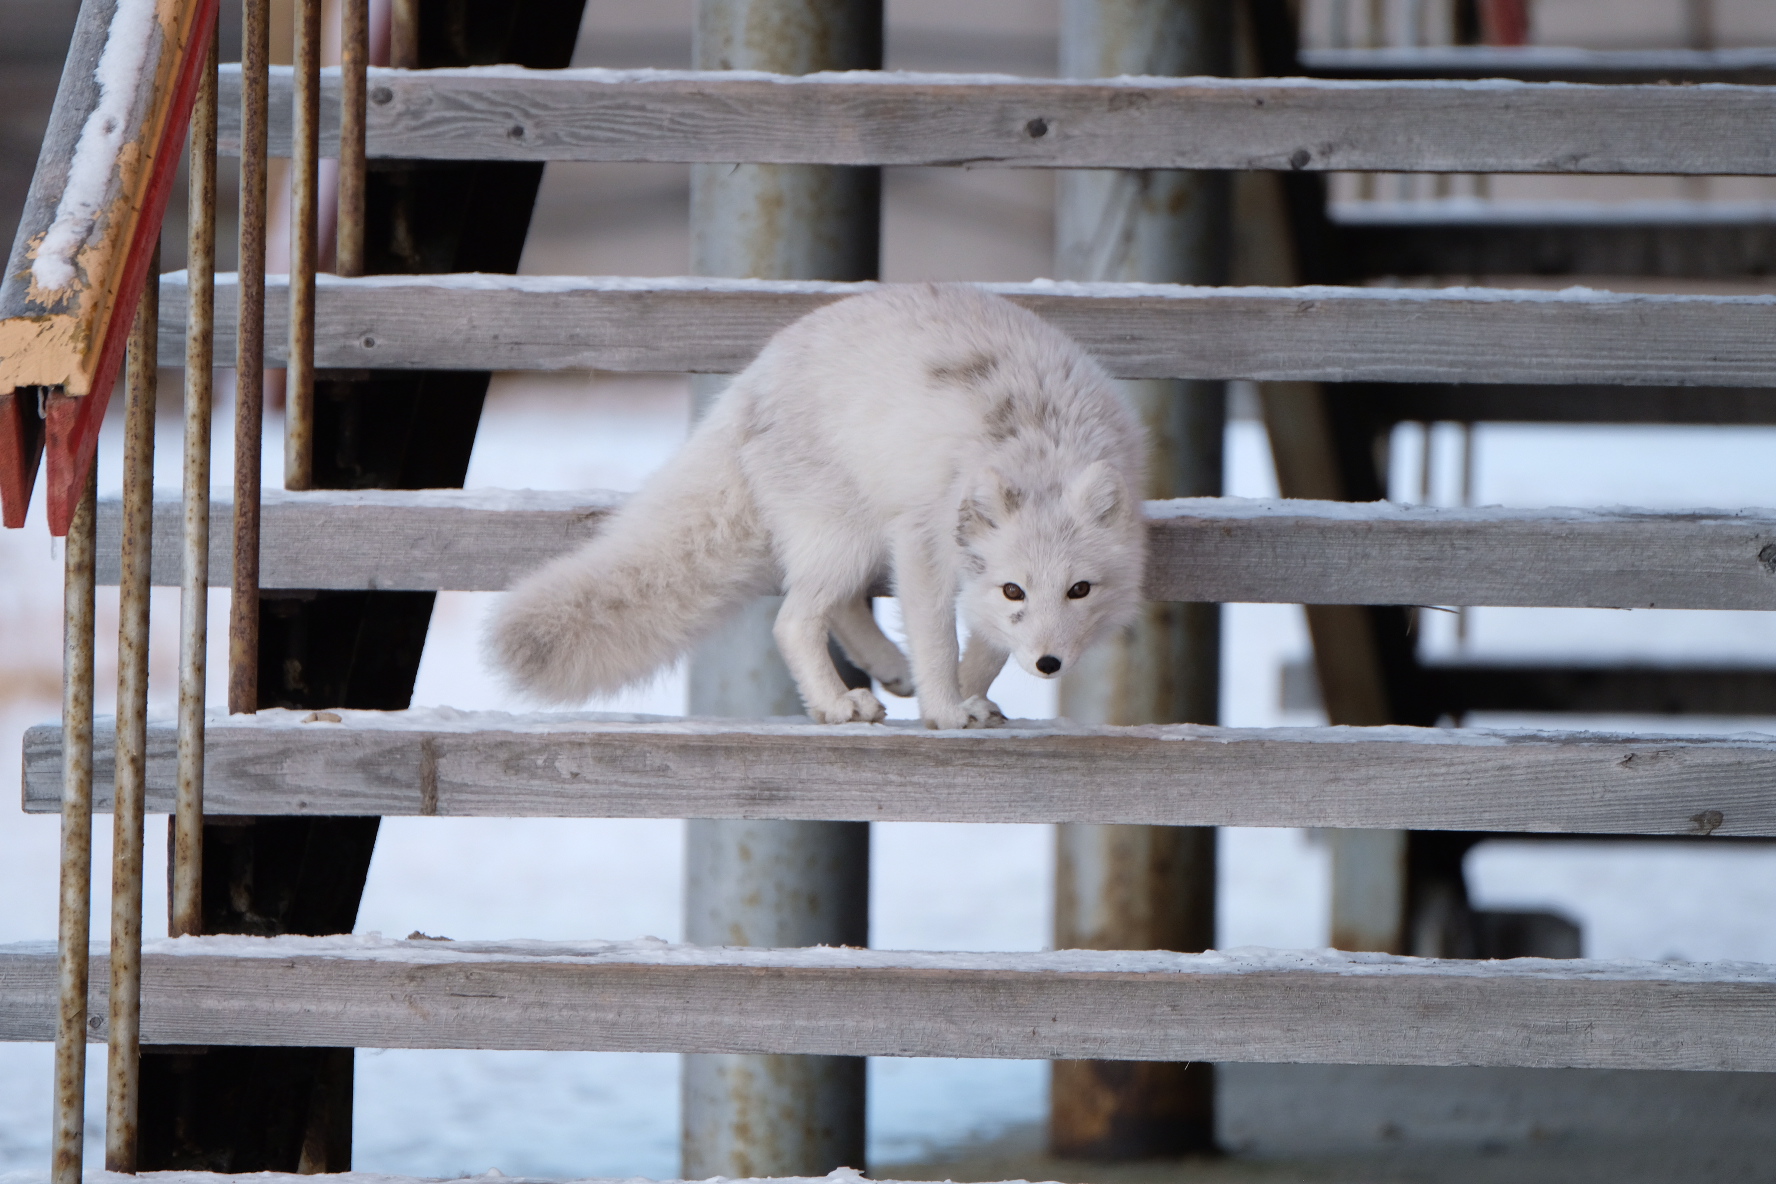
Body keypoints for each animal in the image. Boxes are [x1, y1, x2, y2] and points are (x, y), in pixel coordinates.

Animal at [490, 284, 1150, 731]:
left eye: (1080, 590)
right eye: (1017, 590)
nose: (1047, 663)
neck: (1042, 445)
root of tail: (750, 381)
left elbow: (984, 647)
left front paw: (968, 693)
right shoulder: (925, 541)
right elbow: (939, 638)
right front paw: (945, 709)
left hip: (858, 537)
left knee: (840, 605)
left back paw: (888, 669)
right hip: (848, 535)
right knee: (795, 618)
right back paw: (836, 704)